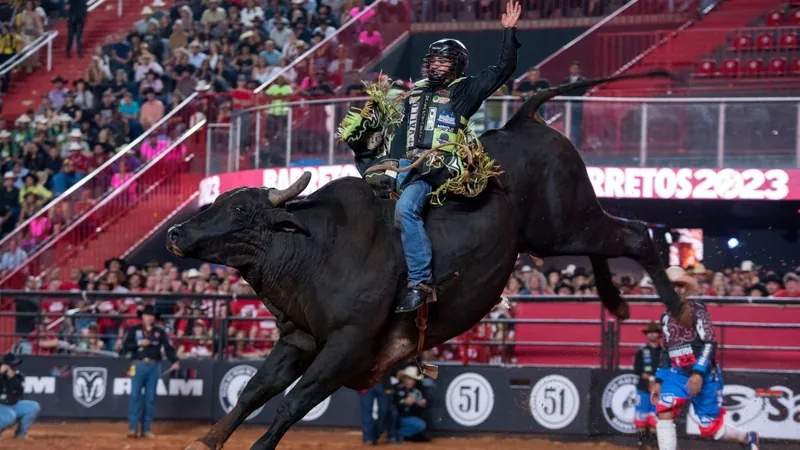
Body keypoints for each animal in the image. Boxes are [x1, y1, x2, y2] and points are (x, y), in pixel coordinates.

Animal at [167, 70, 688, 450]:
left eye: (239, 209)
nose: (175, 233)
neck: (315, 249)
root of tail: (522, 119)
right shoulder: (298, 339)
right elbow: (254, 391)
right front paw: (206, 441)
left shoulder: (348, 345)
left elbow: (291, 404)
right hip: (563, 230)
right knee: (611, 241)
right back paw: (616, 300)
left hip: (564, 223)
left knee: (636, 236)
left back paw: (677, 308)